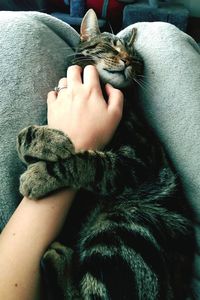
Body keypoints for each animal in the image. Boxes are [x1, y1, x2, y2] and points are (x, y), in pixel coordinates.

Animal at [16, 8, 195, 300]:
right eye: (112, 46)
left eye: (136, 60)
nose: (127, 61)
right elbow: (26, 139)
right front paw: (43, 141)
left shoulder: (138, 160)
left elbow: (90, 163)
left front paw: (41, 175)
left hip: (121, 230)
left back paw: (58, 258)